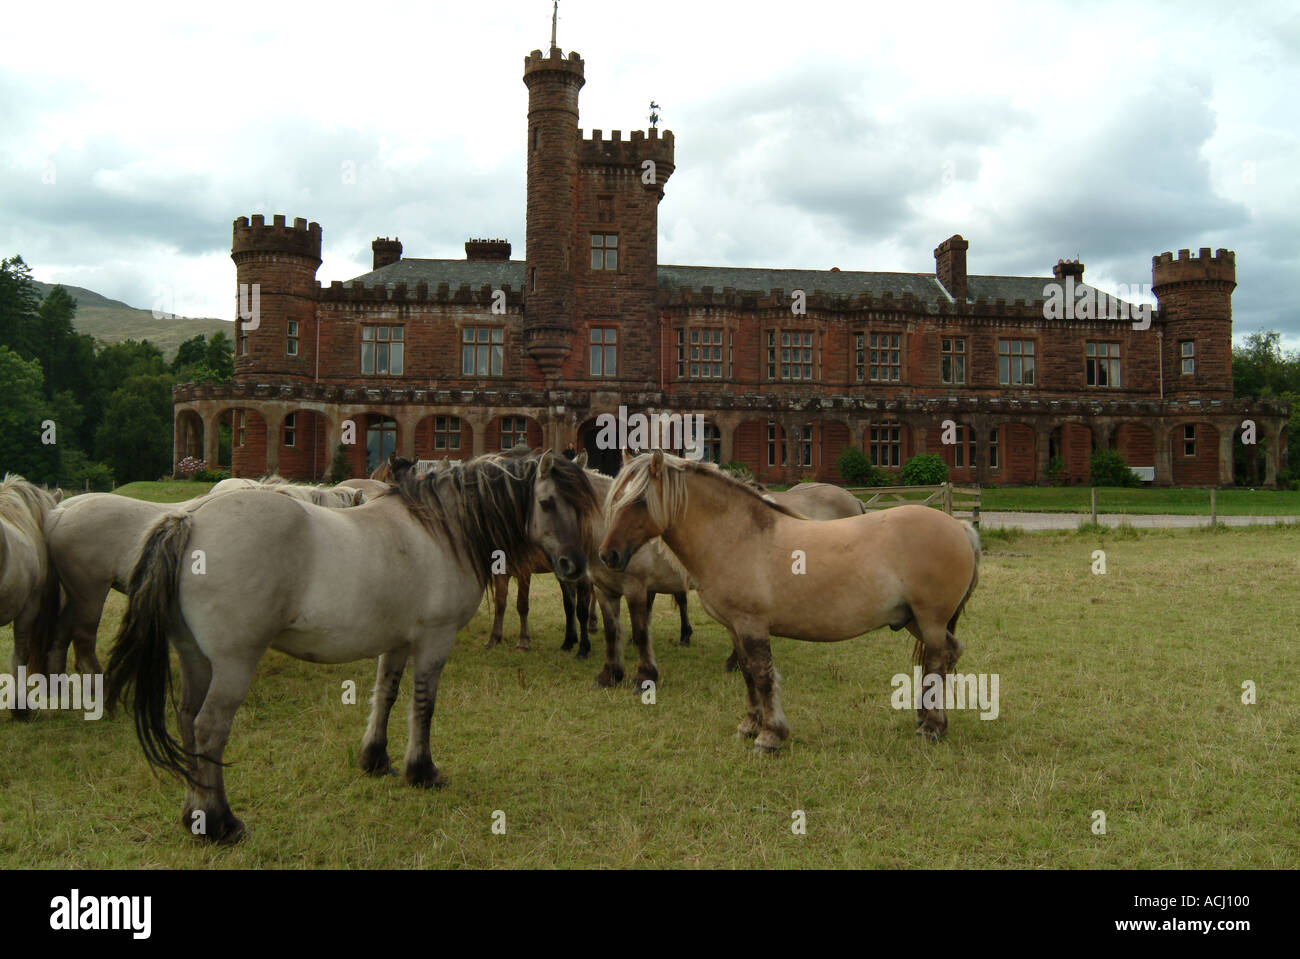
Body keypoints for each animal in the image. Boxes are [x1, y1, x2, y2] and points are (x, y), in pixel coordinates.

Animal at [105, 448, 596, 843]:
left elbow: (386, 695)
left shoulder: (396, 642)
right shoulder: (434, 640)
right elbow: (423, 705)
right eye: (548, 503)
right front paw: (422, 770)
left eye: (581, 505)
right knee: (209, 728)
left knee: (187, 721)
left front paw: (375, 759)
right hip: (232, 666)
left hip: (196, 659)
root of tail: (191, 521)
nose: (575, 565)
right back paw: (221, 823)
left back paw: (194, 815)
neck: (440, 531)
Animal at [599, 450, 980, 750]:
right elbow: (748, 675)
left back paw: (932, 727)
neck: (738, 537)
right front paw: (749, 726)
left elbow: (764, 676)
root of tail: (960, 528)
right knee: (947, 655)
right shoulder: (735, 628)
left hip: (930, 620)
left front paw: (770, 736)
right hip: (914, 619)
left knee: (937, 660)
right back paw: (925, 719)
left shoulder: (753, 626)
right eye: (615, 500)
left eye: (639, 502)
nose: (608, 555)